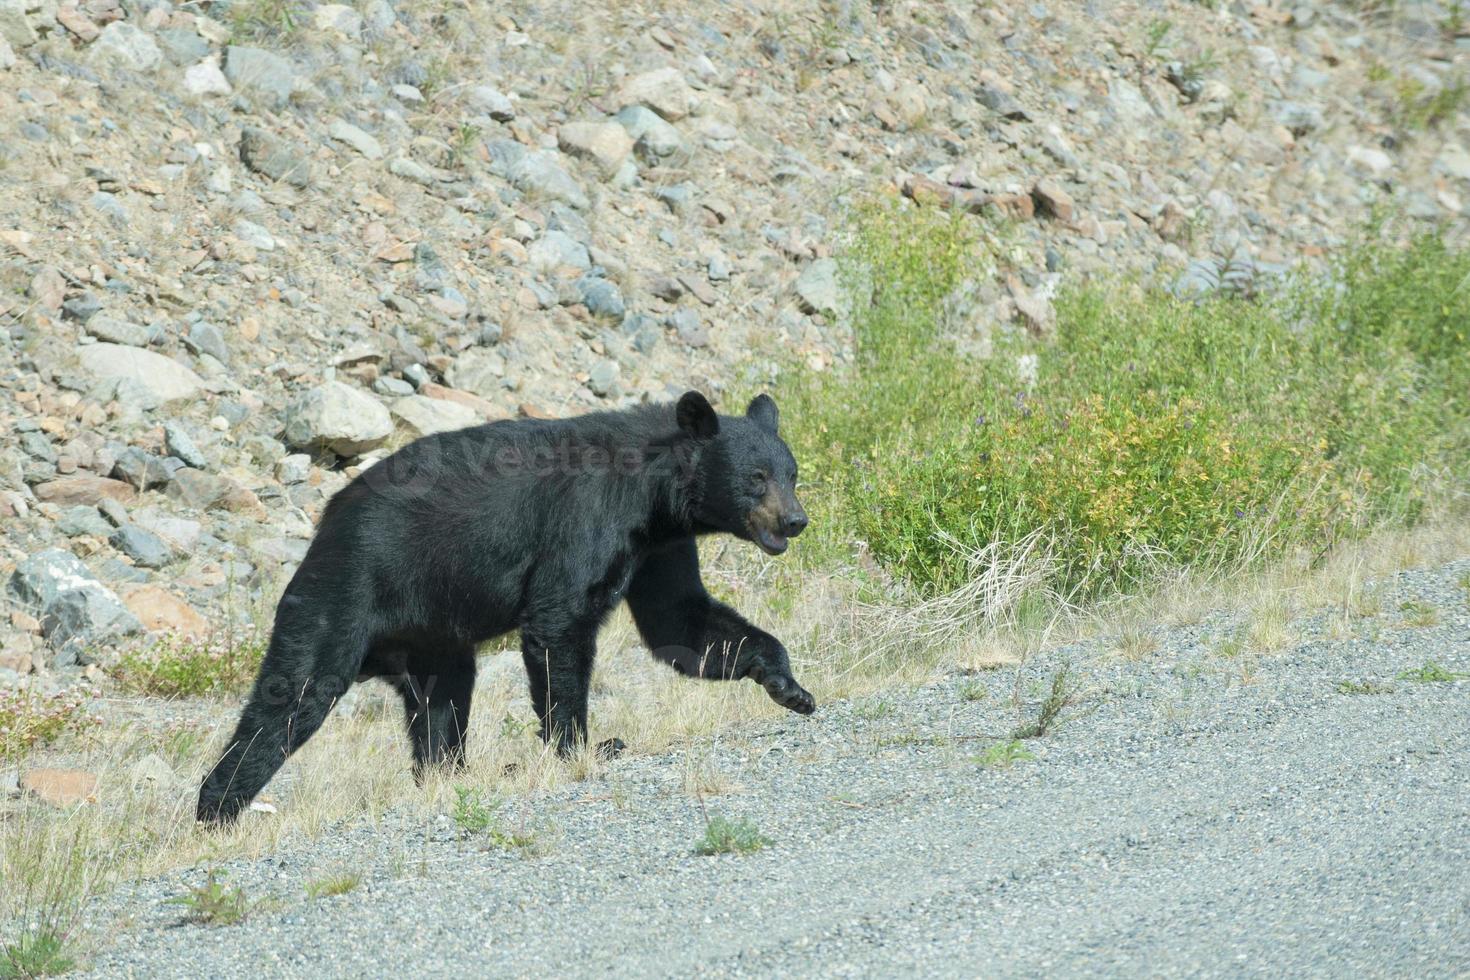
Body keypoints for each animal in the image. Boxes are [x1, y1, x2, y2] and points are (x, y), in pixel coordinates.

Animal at [195, 390, 817, 822]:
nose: (795, 521)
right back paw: (217, 809)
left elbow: (679, 622)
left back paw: (446, 775)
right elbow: (560, 622)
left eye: (792, 473)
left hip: (432, 633)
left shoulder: (656, 547)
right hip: (345, 591)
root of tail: (326, 522)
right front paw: (581, 746)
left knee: (440, 703)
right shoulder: (585, 519)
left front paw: (792, 688)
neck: (650, 492)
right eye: (756, 477)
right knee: (293, 694)